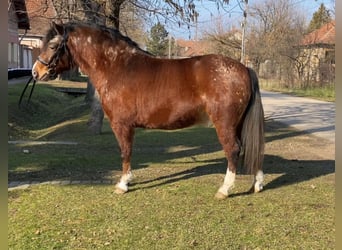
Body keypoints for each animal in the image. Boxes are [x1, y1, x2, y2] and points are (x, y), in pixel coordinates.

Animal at [31, 22, 264, 199]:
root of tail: (244, 68)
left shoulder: (122, 125)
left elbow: (125, 151)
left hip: (224, 124)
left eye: (53, 46)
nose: (36, 72)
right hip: (238, 123)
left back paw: (225, 190)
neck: (117, 67)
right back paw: (257, 183)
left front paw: (123, 184)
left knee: (233, 150)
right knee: (251, 148)